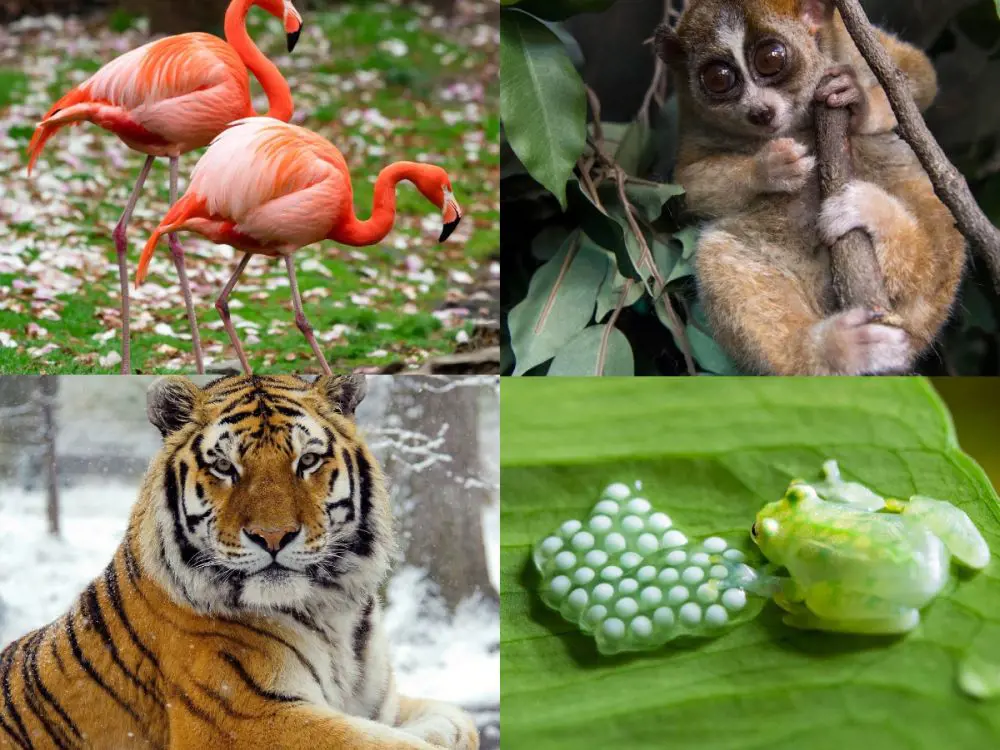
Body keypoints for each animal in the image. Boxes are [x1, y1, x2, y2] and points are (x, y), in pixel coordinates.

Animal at [0, 374, 480, 750]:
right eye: (224, 466)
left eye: (307, 460)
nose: (273, 536)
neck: (334, 614)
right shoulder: (246, 716)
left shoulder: (379, 703)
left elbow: (458, 719)